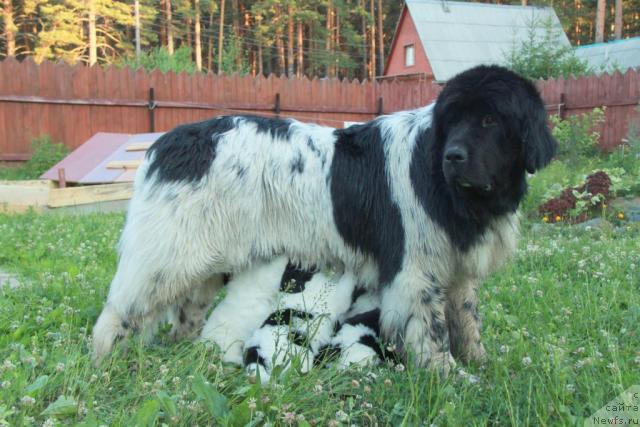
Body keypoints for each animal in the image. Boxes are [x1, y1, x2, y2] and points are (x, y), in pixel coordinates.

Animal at [92, 63, 556, 374]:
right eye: (452, 120)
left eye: (490, 119)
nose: (453, 156)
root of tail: (166, 142)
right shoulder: (415, 272)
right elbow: (432, 330)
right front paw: (448, 377)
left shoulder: (456, 270)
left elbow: (467, 319)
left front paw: (480, 362)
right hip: (168, 255)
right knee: (121, 310)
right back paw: (104, 361)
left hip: (207, 256)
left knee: (187, 310)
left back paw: (189, 351)